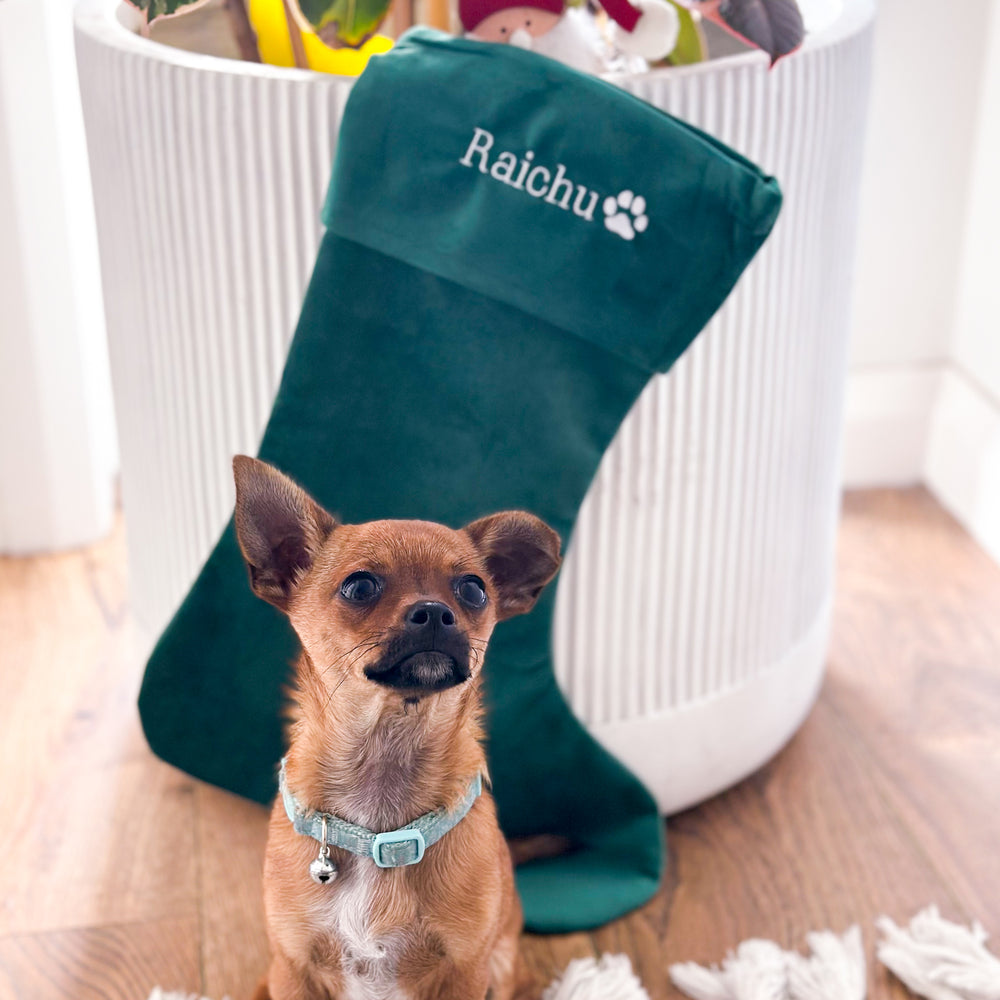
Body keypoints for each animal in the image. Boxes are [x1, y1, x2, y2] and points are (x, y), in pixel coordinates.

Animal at [232, 458, 564, 1000]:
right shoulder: (292, 969)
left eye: (474, 589)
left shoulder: (464, 974)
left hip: (499, 970)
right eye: (360, 586)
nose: (433, 612)